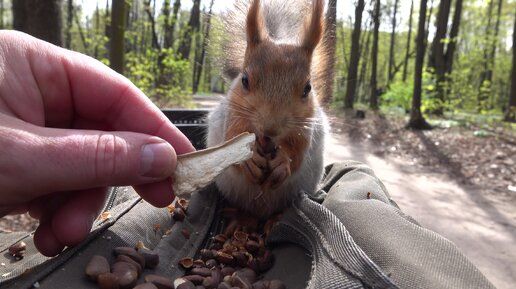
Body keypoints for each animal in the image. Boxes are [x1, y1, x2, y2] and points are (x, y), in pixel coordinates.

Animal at [205, 0, 330, 216]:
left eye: (307, 88)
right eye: (244, 80)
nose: (270, 130)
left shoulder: (305, 127)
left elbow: (297, 154)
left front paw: (283, 162)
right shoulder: (234, 116)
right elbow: (233, 140)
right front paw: (248, 161)